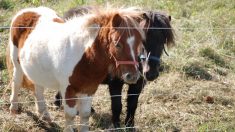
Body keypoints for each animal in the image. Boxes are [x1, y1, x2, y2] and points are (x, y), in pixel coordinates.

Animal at [6, 6, 145, 131]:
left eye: (139, 44)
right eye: (117, 44)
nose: (133, 76)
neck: (84, 57)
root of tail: (25, 11)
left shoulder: (89, 89)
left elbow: (85, 114)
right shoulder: (68, 90)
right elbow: (70, 115)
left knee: (38, 88)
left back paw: (45, 115)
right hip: (17, 65)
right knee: (16, 82)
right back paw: (14, 108)